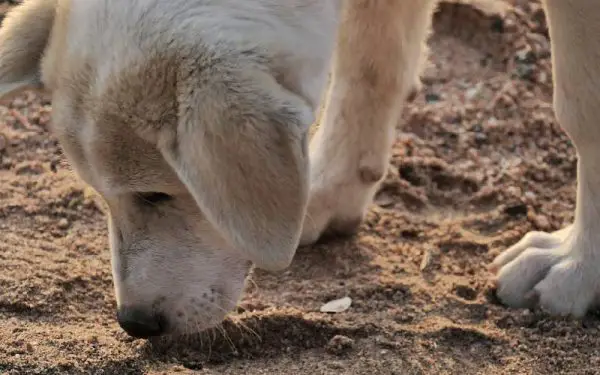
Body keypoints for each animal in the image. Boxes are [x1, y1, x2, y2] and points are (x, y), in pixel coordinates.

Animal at [0, 0, 596, 340]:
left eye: (156, 195)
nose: (135, 324)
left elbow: (582, 110)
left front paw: (576, 267)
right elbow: (369, 62)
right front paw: (326, 195)